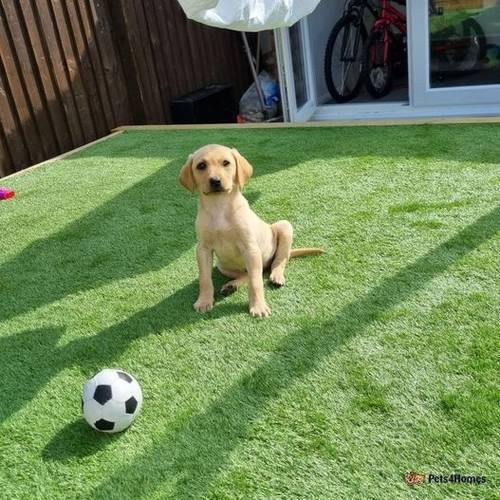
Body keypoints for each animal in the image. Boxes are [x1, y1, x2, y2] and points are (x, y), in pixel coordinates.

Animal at [180, 145, 324, 316]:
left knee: (278, 261)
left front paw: (258, 307)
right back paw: (232, 285)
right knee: (247, 273)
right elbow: (204, 278)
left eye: (226, 163)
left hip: (284, 227)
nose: (215, 181)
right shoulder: (203, 249)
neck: (219, 207)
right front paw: (204, 301)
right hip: (222, 265)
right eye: (201, 166)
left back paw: (276, 276)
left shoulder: (250, 248)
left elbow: (256, 282)